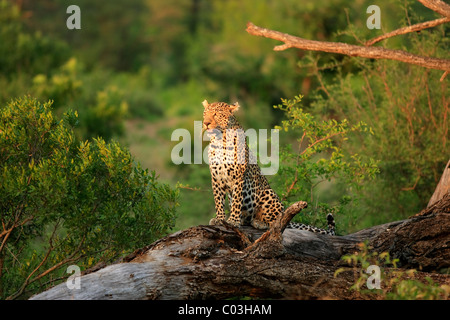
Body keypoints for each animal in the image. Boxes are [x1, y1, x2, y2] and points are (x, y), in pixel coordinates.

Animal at [202, 99, 336, 235]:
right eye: (205, 113)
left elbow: (236, 201)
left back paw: (259, 222)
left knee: (277, 223)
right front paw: (219, 219)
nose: (206, 123)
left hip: (268, 194)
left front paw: (233, 221)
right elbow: (218, 200)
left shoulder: (238, 177)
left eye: (216, 114)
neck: (219, 140)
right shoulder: (216, 177)